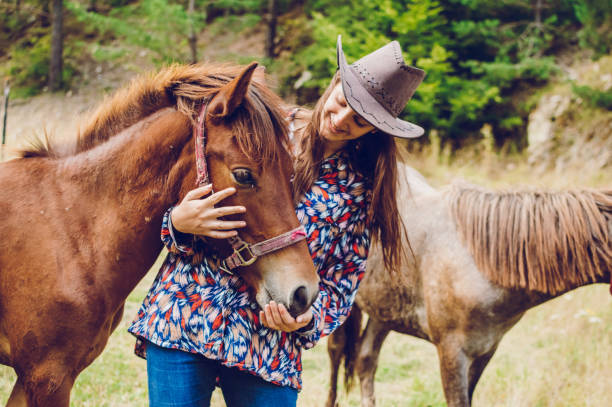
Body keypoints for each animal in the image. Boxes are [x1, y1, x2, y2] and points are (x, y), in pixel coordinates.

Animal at [0, 62, 318, 406]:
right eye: (244, 175)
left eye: (292, 170)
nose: (304, 291)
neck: (71, 228)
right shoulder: (46, 377)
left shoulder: (37, 378)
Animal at [328, 161, 608, 407]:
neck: (481, 261)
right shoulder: (452, 353)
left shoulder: (485, 350)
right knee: (336, 351)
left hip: (384, 308)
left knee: (366, 358)